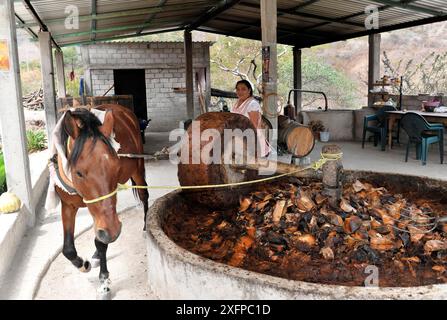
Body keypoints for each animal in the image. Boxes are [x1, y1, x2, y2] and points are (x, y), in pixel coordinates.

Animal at [56, 104, 149, 284]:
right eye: (78, 173)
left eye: (117, 167)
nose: (114, 232)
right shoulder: (68, 205)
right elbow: (68, 248)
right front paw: (83, 264)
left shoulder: (107, 215)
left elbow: (101, 241)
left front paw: (104, 275)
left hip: (138, 169)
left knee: (144, 196)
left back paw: (146, 227)